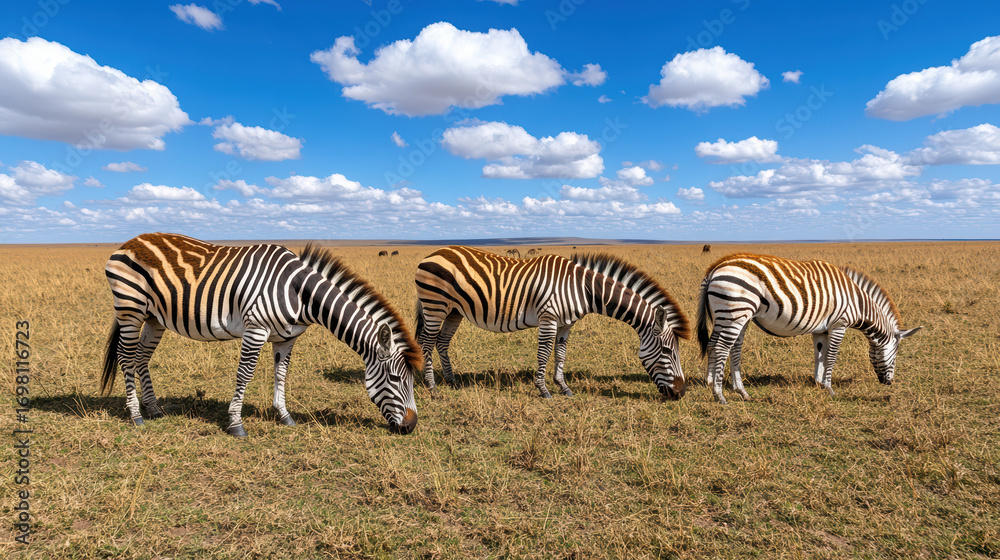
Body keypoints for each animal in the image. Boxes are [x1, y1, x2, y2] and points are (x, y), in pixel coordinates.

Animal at [102, 233, 421, 437]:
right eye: (396, 379)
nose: (411, 427)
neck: (299, 292)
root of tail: (130, 242)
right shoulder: (255, 330)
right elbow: (245, 375)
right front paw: (235, 424)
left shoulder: (287, 337)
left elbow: (281, 374)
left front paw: (285, 416)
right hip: (130, 309)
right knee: (126, 358)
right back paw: (136, 415)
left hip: (154, 318)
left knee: (141, 358)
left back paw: (154, 408)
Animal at [415, 246, 691, 399]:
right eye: (668, 351)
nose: (681, 392)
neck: (583, 288)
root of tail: (433, 253)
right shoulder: (548, 317)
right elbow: (544, 353)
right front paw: (543, 390)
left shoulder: (566, 323)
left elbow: (560, 353)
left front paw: (563, 387)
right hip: (435, 305)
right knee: (427, 343)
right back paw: (433, 388)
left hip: (454, 310)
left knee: (441, 342)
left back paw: (451, 382)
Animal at [696, 253, 921, 404]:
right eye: (896, 354)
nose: (889, 383)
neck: (857, 302)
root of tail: (715, 267)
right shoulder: (839, 324)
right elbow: (832, 356)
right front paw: (829, 388)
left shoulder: (820, 329)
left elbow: (819, 355)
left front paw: (818, 382)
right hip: (735, 309)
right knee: (722, 348)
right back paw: (719, 394)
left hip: (730, 315)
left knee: (719, 345)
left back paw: (725, 386)